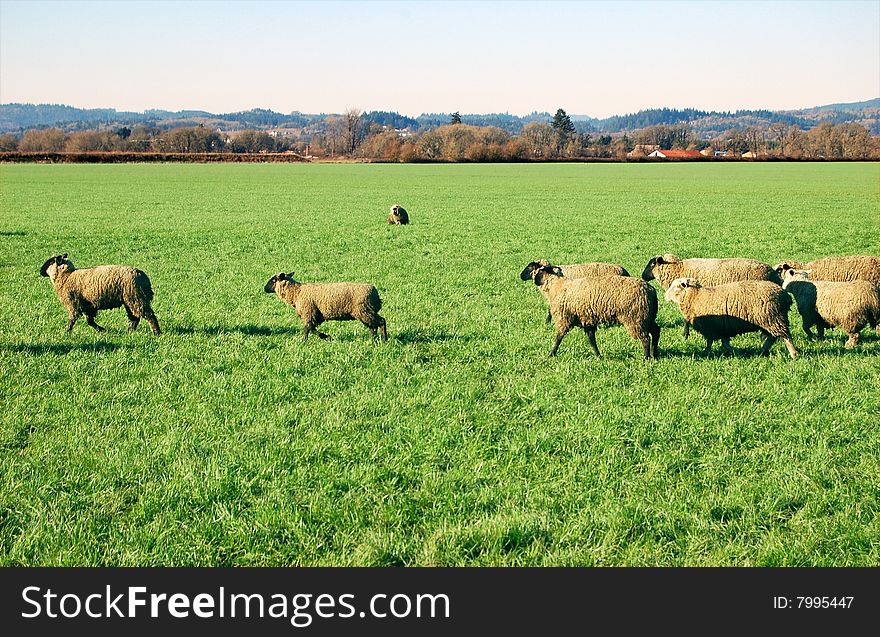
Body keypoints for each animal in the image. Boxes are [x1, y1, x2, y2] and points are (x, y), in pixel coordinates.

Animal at [528, 264, 660, 358]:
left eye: (538, 271)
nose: (534, 281)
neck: (557, 286)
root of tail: (651, 290)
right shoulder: (587, 319)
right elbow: (592, 340)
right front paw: (598, 356)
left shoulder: (564, 319)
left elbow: (558, 338)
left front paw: (551, 354)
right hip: (647, 316)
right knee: (656, 331)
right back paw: (654, 355)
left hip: (636, 318)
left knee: (645, 338)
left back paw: (646, 358)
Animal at [664, 278, 800, 360]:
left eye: (676, 286)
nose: (664, 296)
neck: (695, 296)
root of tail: (785, 296)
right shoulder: (722, 327)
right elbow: (724, 343)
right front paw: (735, 352)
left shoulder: (710, 327)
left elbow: (710, 342)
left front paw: (706, 353)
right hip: (770, 320)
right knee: (773, 337)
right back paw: (762, 351)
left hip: (773, 318)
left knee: (786, 336)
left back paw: (794, 354)